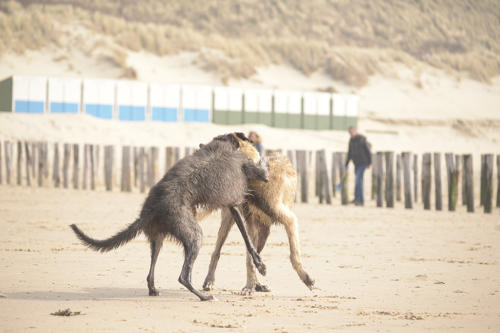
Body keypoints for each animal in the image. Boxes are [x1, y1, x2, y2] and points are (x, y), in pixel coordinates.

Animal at [70, 133, 270, 300]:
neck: (226, 143)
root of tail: (152, 209)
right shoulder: (249, 174)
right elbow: (264, 172)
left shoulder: (232, 206)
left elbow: (247, 239)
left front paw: (259, 263)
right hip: (194, 234)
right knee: (183, 276)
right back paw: (203, 297)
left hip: (158, 238)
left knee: (151, 272)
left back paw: (153, 289)